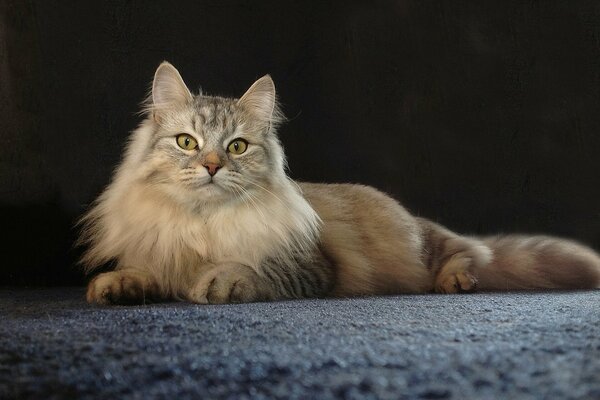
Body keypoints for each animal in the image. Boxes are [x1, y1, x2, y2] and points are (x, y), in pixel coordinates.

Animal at [77, 61, 596, 306]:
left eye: (237, 147)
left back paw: (456, 281)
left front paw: (218, 280)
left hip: (418, 243)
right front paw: (116, 285)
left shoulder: (311, 267)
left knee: (469, 253)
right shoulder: (158, 254)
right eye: (187, 141)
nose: (211, 166)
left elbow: (252, 271)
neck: (203, 224)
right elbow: (145, 272)